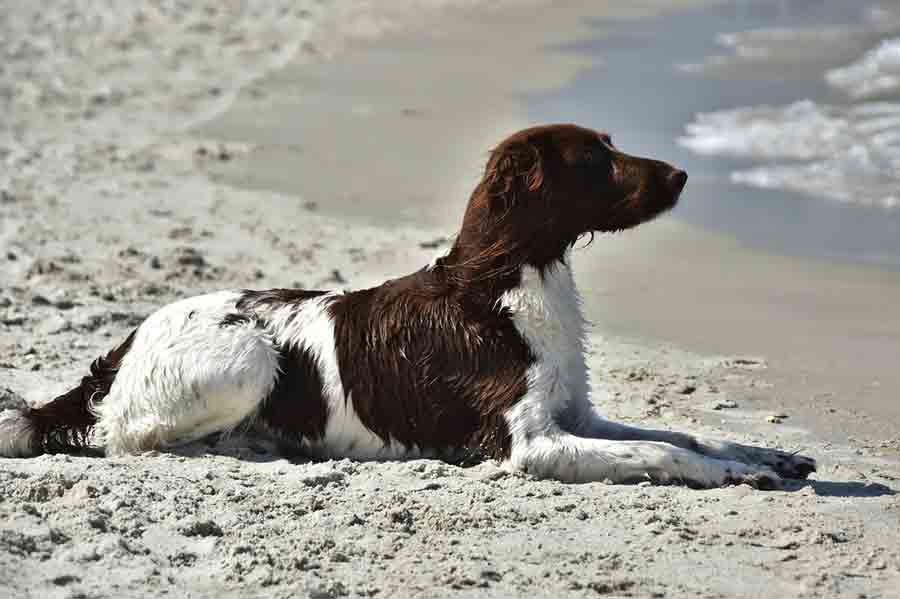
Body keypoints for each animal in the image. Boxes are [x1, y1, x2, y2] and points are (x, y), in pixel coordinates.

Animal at [0, 124, 816, 490]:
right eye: (595, 159)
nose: (681, 174)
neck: (502, 287)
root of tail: (124, 346)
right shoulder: (529, 444)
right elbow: (666, 451)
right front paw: (733, 474)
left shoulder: (576, 416)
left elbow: (684, 432)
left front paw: (764, 454)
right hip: (248, 354)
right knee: (126, 439)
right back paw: (250, 446)